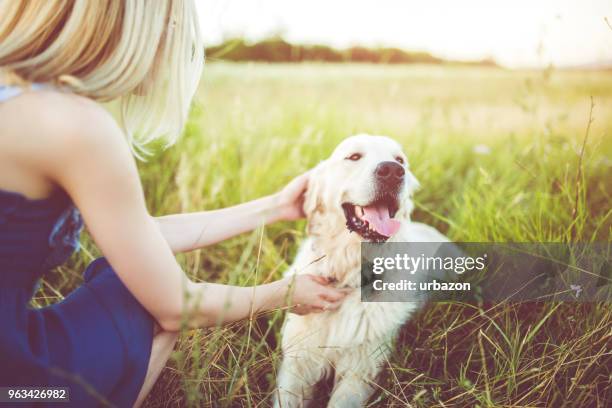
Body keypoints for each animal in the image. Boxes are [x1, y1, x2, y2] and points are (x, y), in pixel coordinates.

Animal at [274, 135, 448, 408]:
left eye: (400, 160)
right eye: (354, 156)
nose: (392, 171)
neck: (349, 276)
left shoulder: (362, 370)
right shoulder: (298, 362)